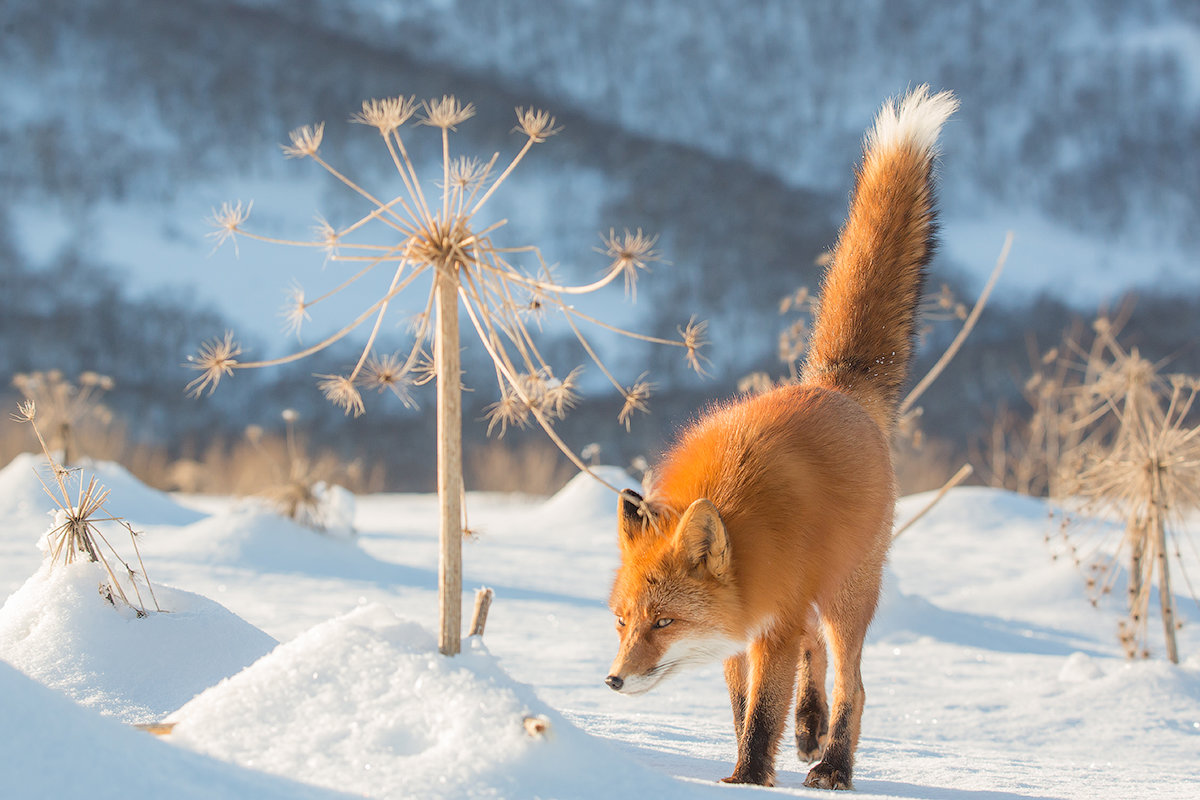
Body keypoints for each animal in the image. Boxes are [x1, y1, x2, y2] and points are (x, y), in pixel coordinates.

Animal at [604, 86, 960, 786]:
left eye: (664, 621)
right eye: (624, 622)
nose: (612, 681)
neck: (745, 526)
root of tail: (835, 385)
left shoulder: (772, 622)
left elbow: (762, 711)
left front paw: (747, 779)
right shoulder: (742, 631)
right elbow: (745, 705)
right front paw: (756, 764)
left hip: (849, 595)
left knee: (853, 684)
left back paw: (835, 765)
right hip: (818, 603)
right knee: (815, 660)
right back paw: (810, 728)